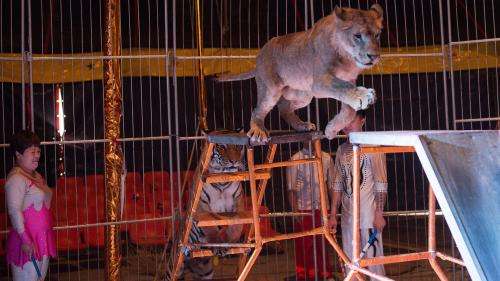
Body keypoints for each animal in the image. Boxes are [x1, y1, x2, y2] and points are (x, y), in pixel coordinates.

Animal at [166, 132, 246, 280]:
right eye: (222, 147)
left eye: (237, 146)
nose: (233, 161)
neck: (221, 181)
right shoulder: (202, 206)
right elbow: (211, 227)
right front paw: (218, 245)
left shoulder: (238, 203)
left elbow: (237, 225)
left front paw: (233, 241)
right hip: (174, 267)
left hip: (205, 271)